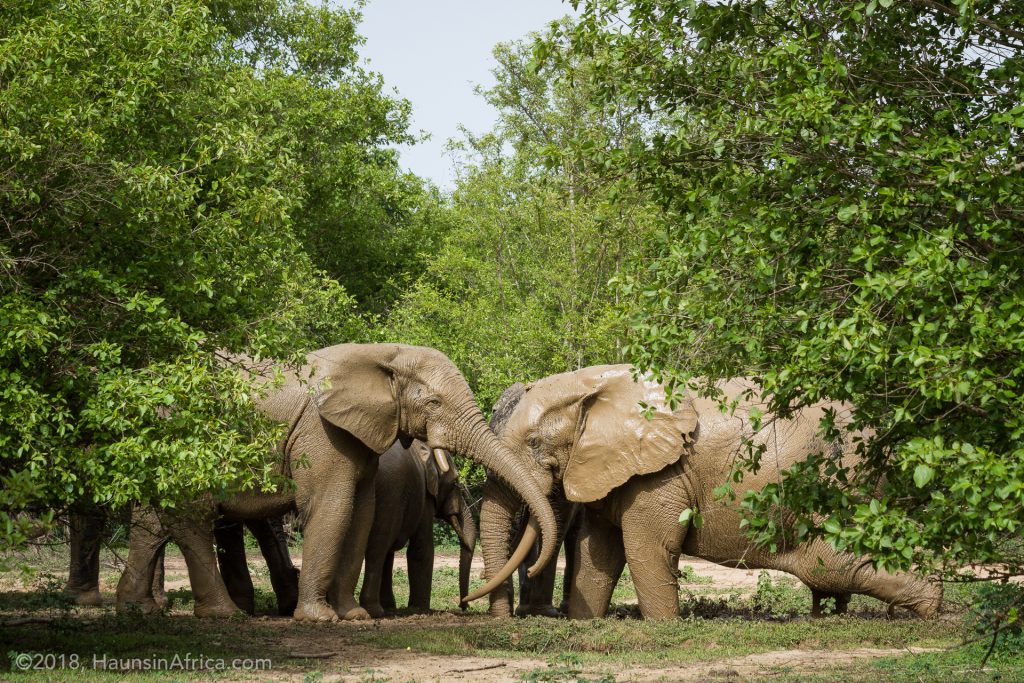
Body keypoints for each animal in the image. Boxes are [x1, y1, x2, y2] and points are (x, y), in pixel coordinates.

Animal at [360, 438, 475, 618]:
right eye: (455, 482)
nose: (463, 605)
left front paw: (391, 606)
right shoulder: (424, 496)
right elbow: (421, 549)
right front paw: (419, 609)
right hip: (389, 493)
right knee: (377, 548)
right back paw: (374, 611)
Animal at [471, 366, 942, 622]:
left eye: (534, 444)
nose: (502, 618)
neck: (593, 383)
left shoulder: (660, 474)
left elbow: (646, 546)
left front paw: (663, 627)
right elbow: (598, 549)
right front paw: (585, 622)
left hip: (845, 484)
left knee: (833, 562)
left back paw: (931, 608)